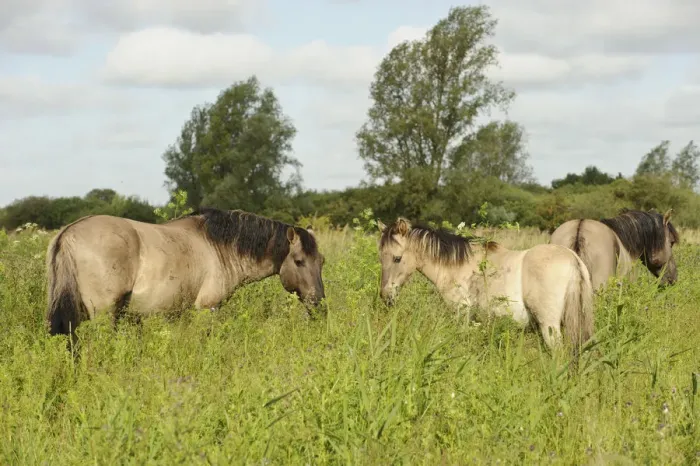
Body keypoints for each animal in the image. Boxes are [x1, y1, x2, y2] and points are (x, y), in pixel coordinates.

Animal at [45, 207, 326, 337]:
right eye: (299, 261)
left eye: (321, 261)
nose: (319, 304)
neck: (219, 247)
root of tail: (67, 234)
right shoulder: (207, 309)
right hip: (102, 316)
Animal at [377, 218, 594, 357]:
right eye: (381, 257)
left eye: (397, 258)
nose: (386, 296)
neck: (457, 265)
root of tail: (573, 260)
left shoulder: (461, 313)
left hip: (550, 326)